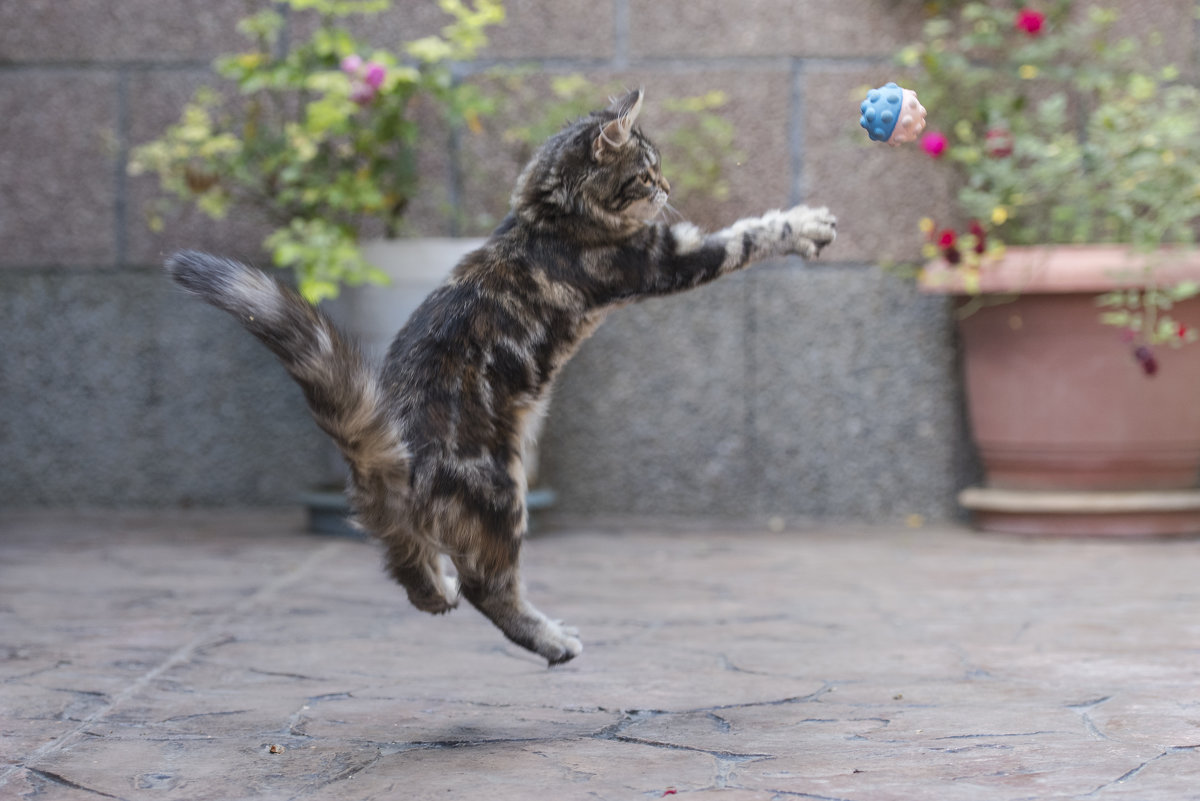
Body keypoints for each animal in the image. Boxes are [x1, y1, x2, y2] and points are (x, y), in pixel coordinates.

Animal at [169, 86, 840, 661]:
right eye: (647, 174)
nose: (670, 183)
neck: (545, 214)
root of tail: (377, 448)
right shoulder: (663, 261)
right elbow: (749, 236)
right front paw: (805, 225)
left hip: (420, 518)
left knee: (407, 562)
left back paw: (436, 590)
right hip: (499, 493)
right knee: (487, 586)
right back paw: (550, 640)